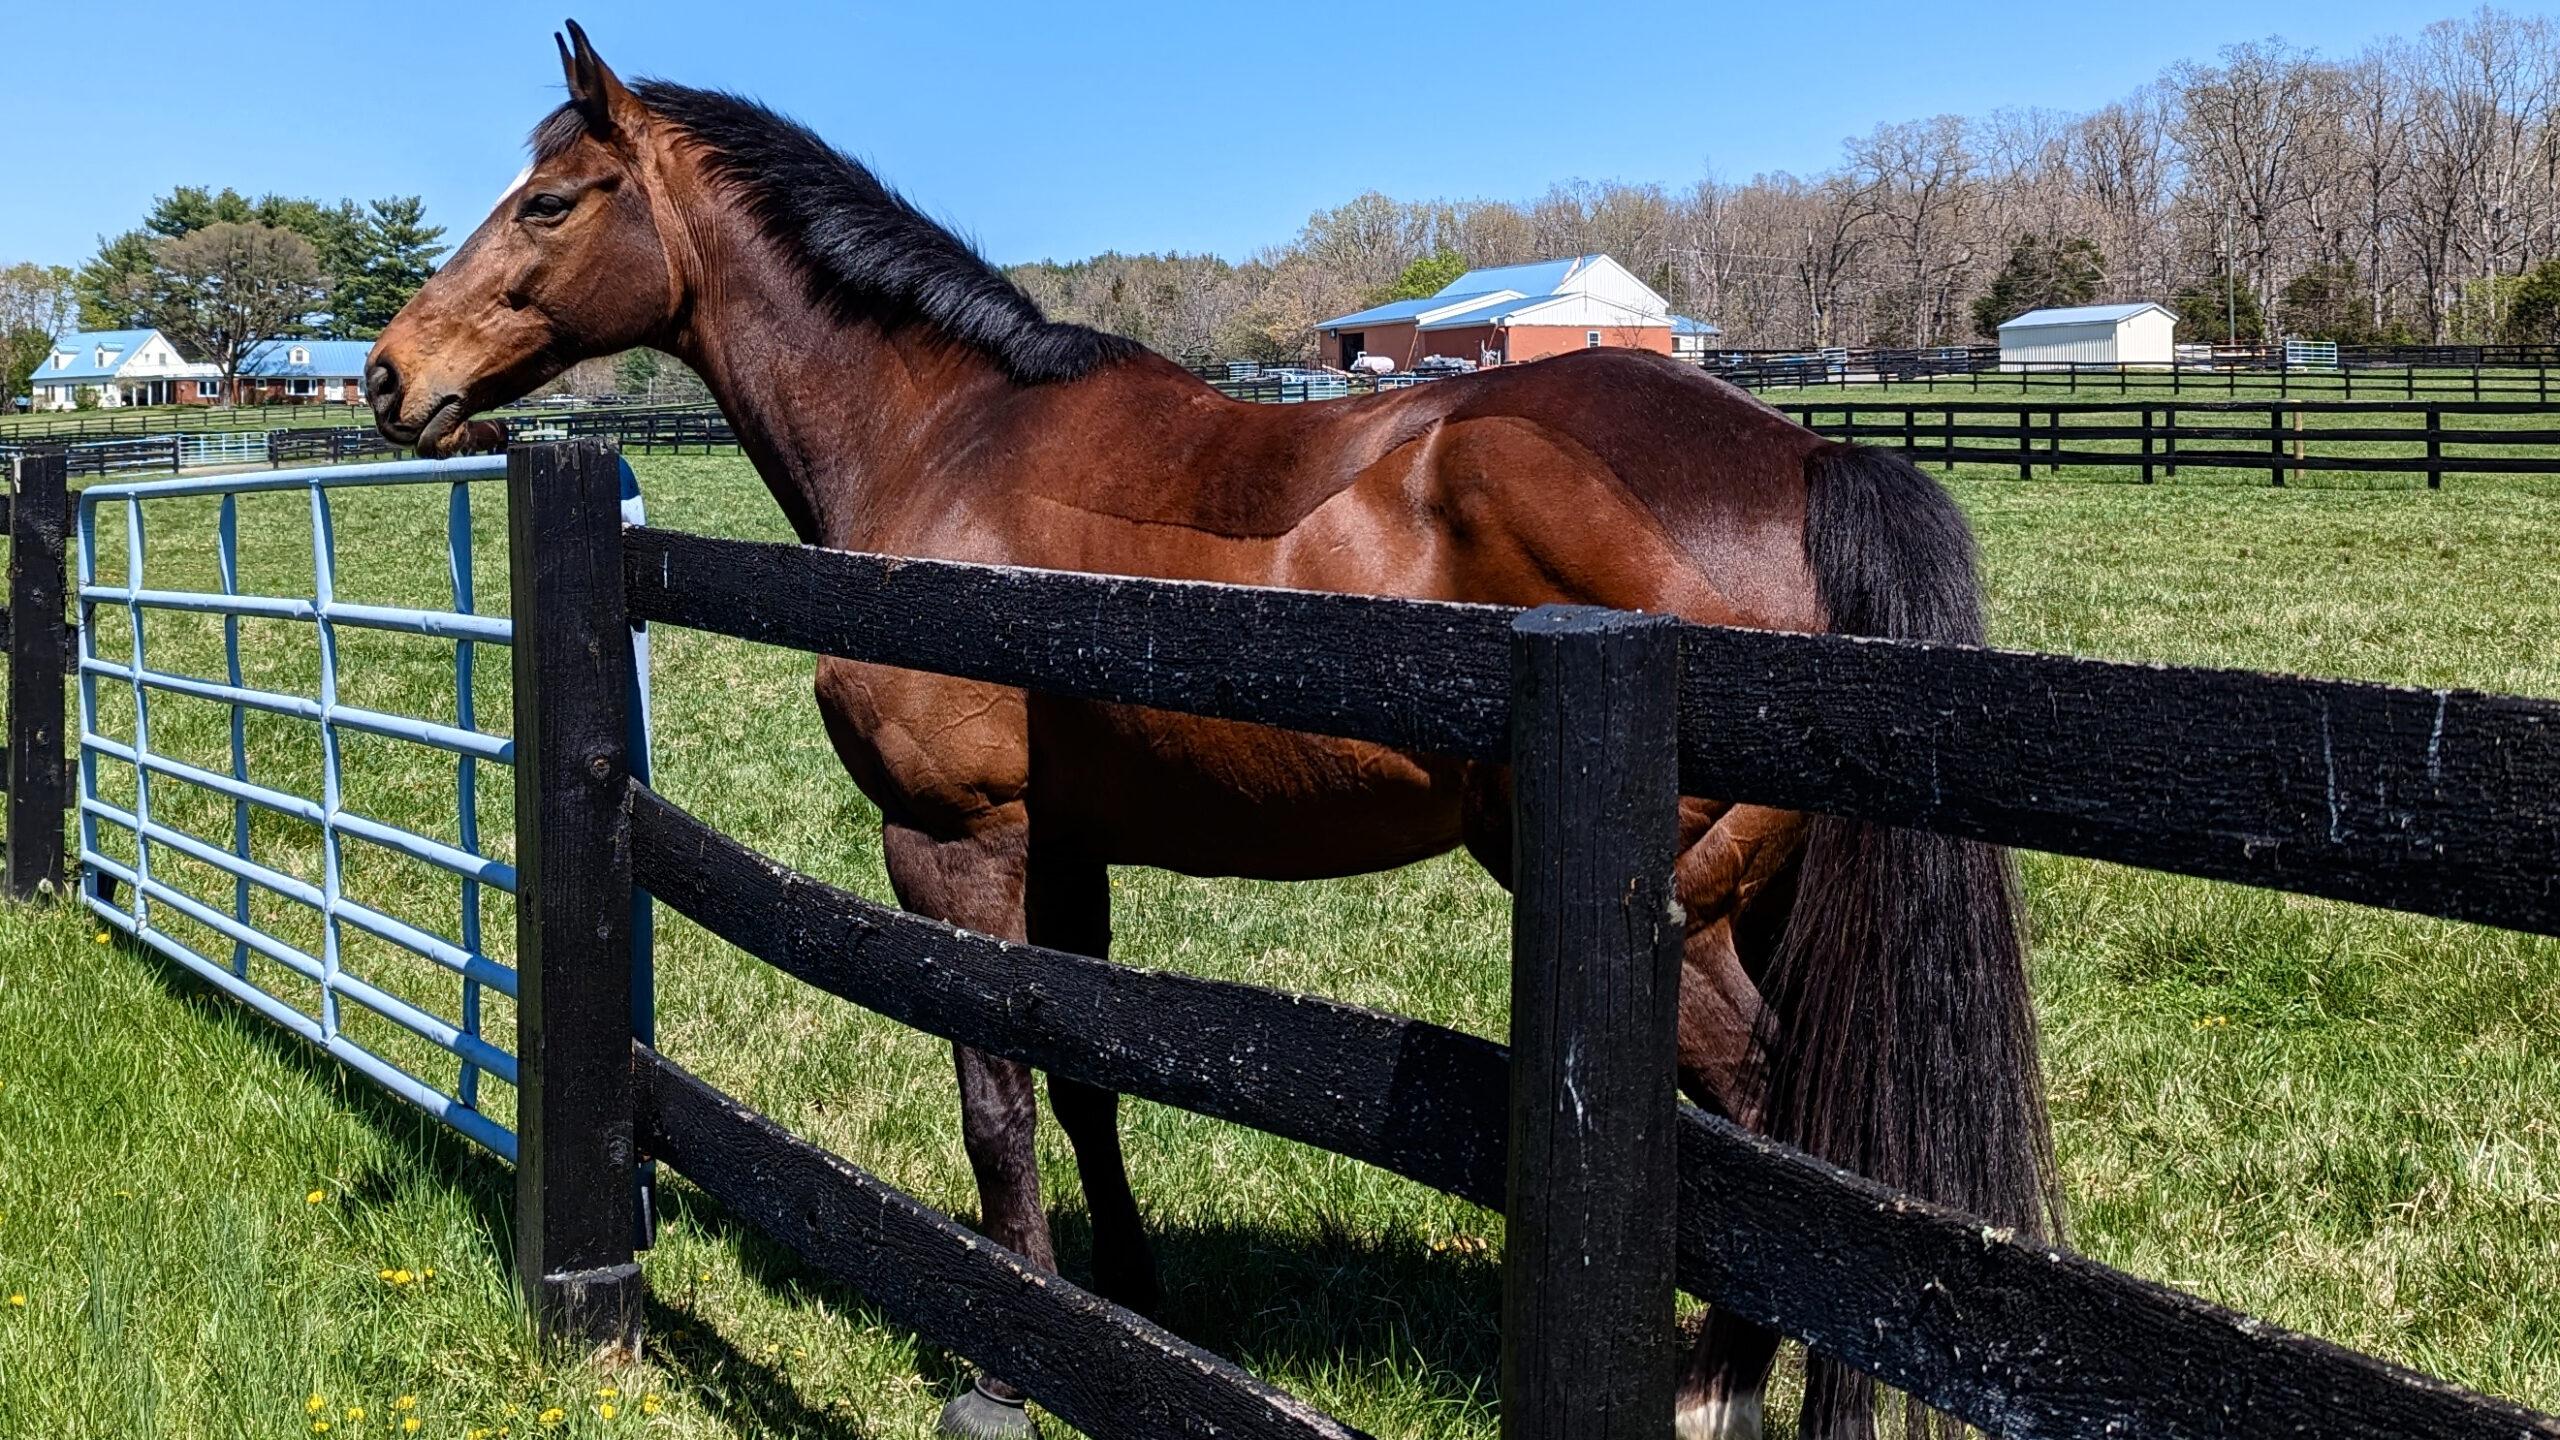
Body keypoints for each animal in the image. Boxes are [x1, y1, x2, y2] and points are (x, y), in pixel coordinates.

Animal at [368, 25, 2056, 1440]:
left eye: (548, 203)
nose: (391, 374)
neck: (944, 443)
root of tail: (1811, 463)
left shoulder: (955, 841)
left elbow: (994, 1095)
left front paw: (1004, 1366)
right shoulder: (1070, 848)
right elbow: (1083, 1074)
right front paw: (1128, 1304)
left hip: (1689, 917)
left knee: (1772, 1126)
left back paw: (1712, 1389)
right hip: (1773, 899)